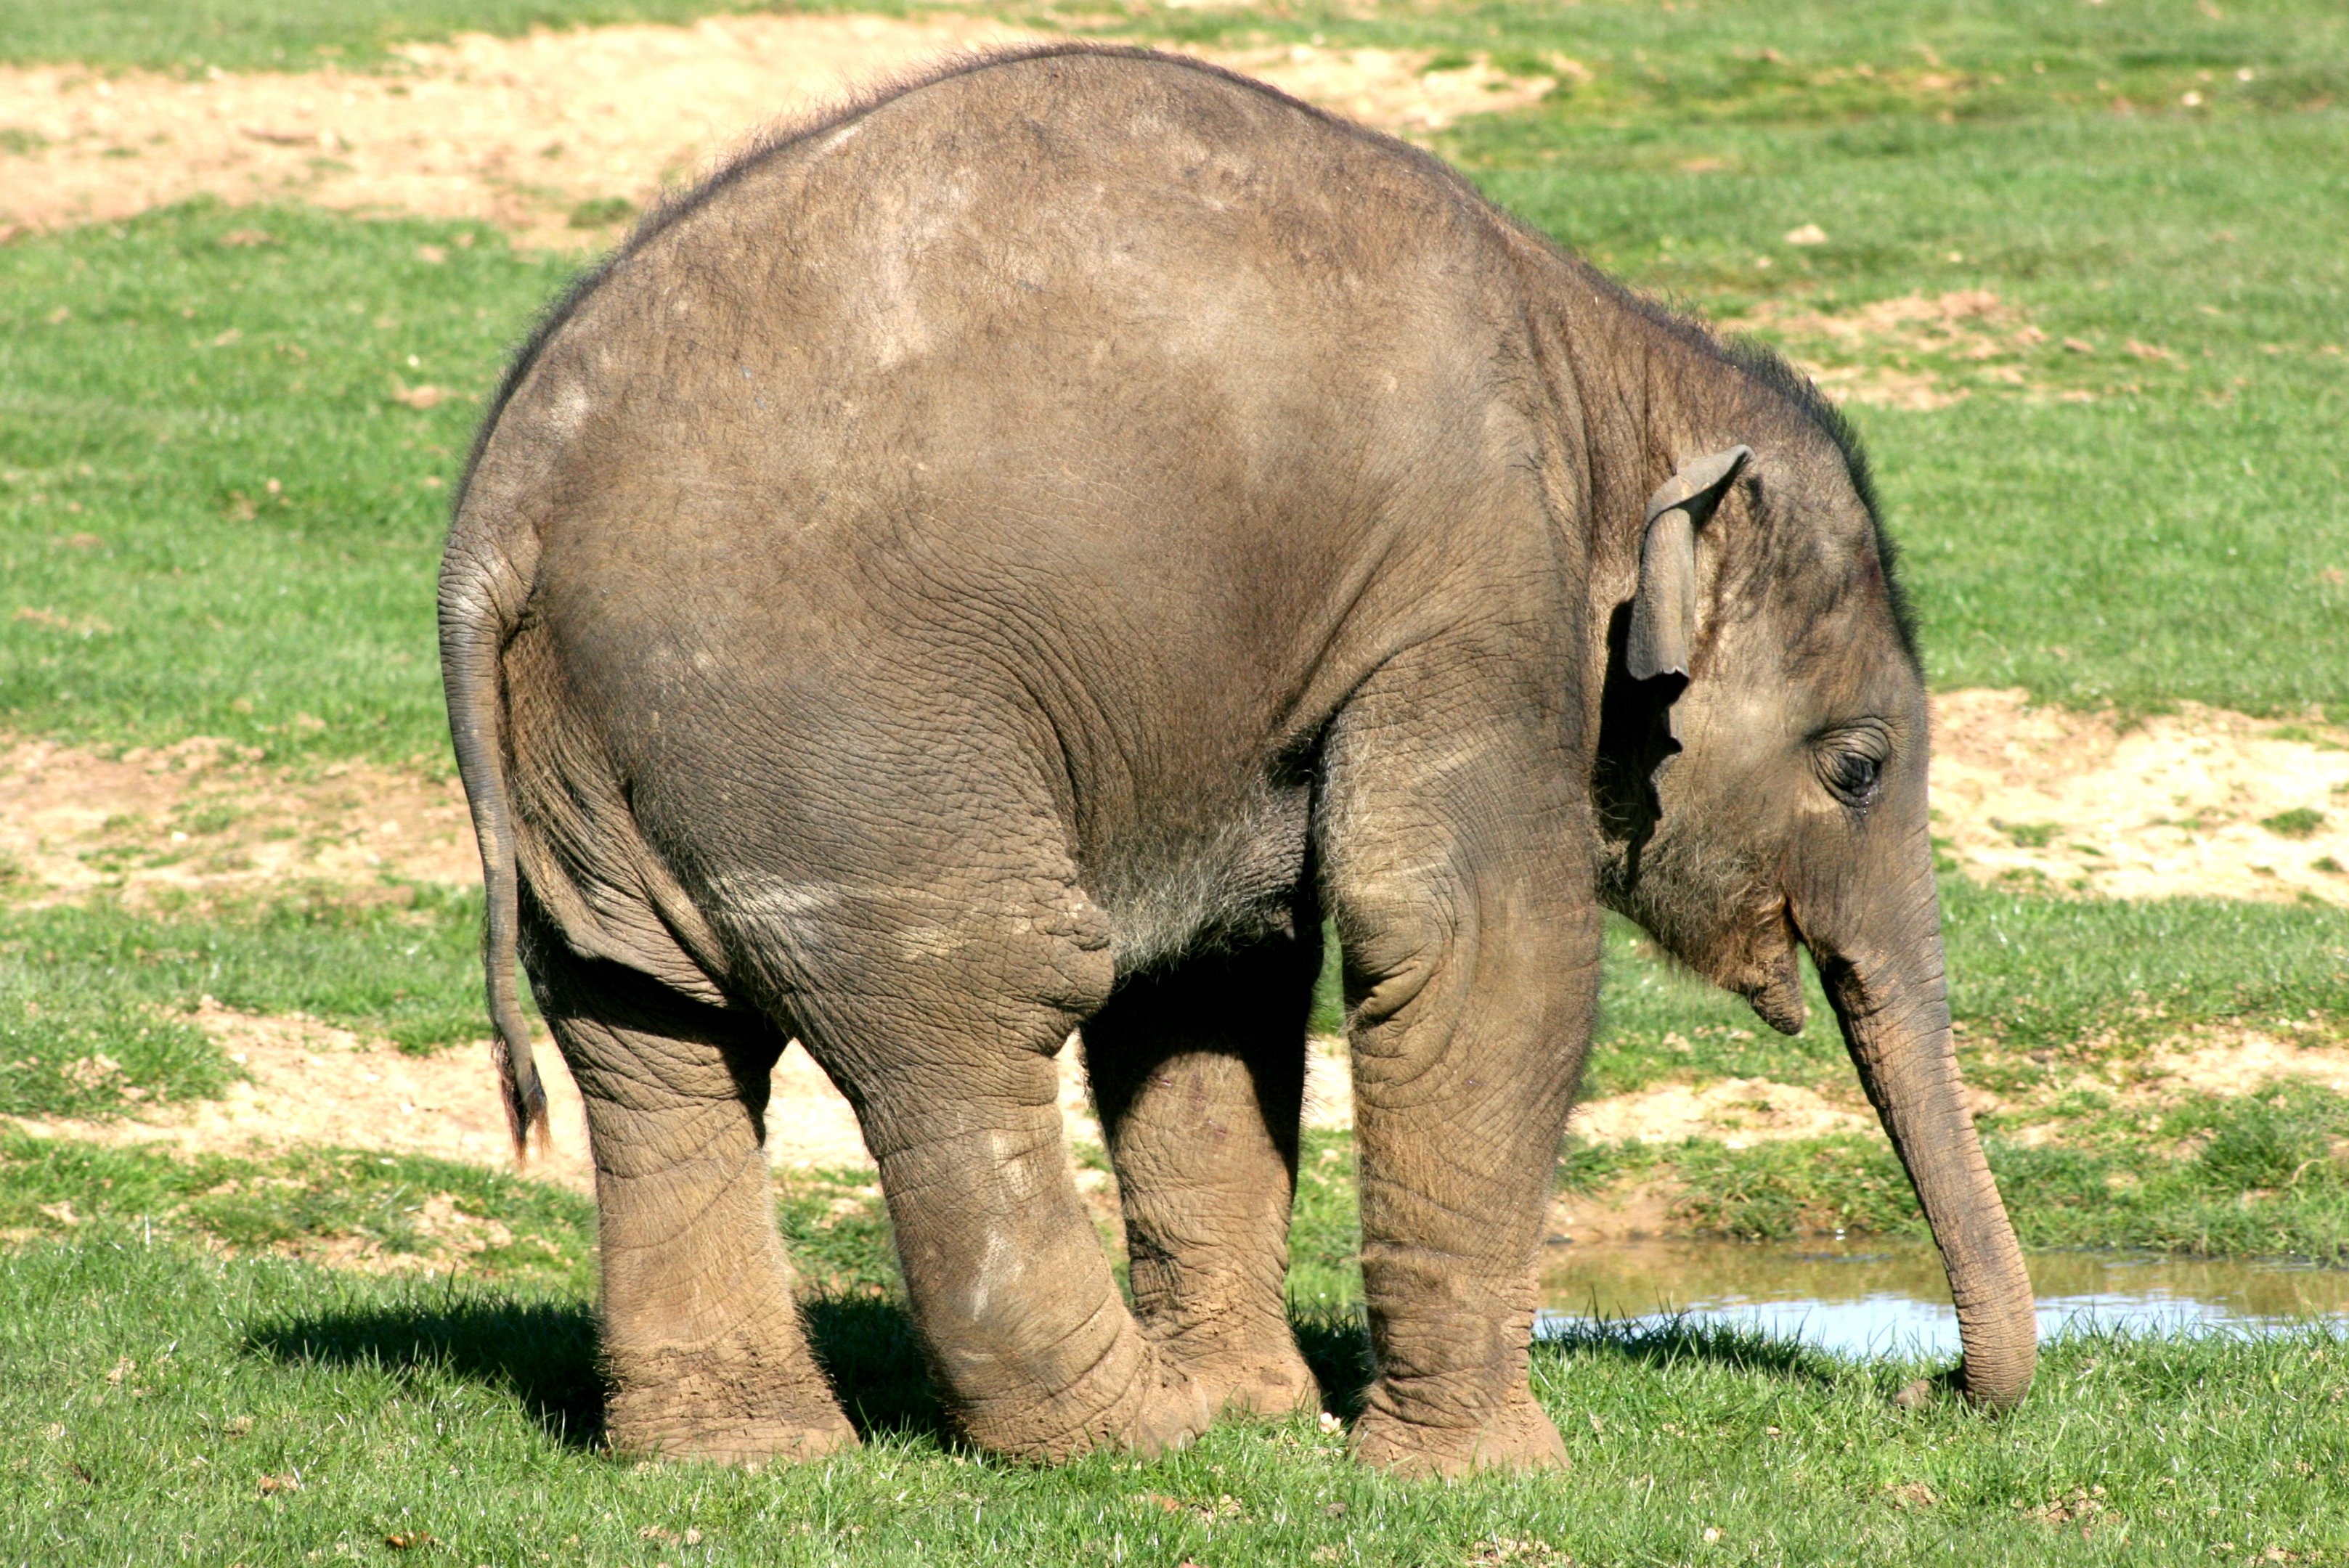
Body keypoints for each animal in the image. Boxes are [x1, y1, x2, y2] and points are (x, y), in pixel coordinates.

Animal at [440, 44, 2034, 1476]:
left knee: (651, 1043)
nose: (1926, 1391)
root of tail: (504, 506)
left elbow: (1213, 979)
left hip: (613, 765)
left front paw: (1272, 1421)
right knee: (972, 1010)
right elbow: (1474, 943)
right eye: (1860, 767)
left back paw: (754, 1456)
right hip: (834, 738)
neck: (1609, 374)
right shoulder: (1469, 594)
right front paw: (1478, 1475)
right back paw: (1128, 1435)